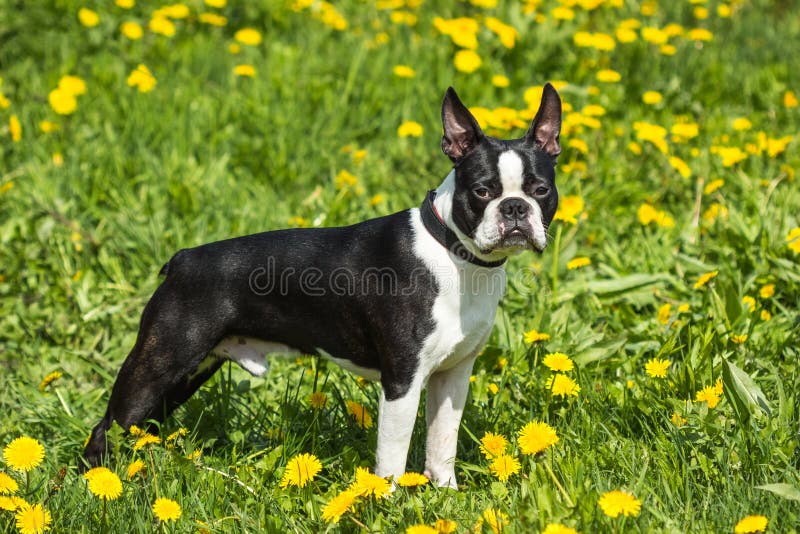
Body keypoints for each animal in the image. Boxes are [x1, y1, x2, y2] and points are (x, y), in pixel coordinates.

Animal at [79, 84, 556, 490]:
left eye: (541, 190)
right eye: (482, 191)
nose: (515, 208)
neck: (457, 257)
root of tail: (183, 259)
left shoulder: (453, 375)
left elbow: (442, 444)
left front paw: (445, 494)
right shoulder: (402, 381)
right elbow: (392, 457)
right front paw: (388, 502)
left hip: (188, 371)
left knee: (139, 425)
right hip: (161, 361)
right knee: (107, 426)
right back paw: (94, 485)